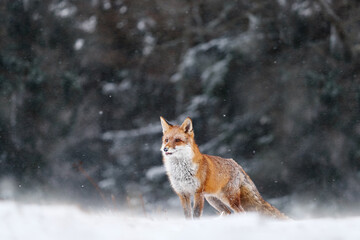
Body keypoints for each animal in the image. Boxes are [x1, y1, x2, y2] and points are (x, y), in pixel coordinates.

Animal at [160, 116, 290, 219]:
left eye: (177, 140)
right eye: (166, 140)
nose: (165, 149)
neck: (181, 172)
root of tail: (236, 163)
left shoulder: (198, 193)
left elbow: (196, 215)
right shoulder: (183, 194)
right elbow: (187, 216)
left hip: (228, 199)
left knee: (241, 212)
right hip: (213, 199)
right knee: (228, 212)